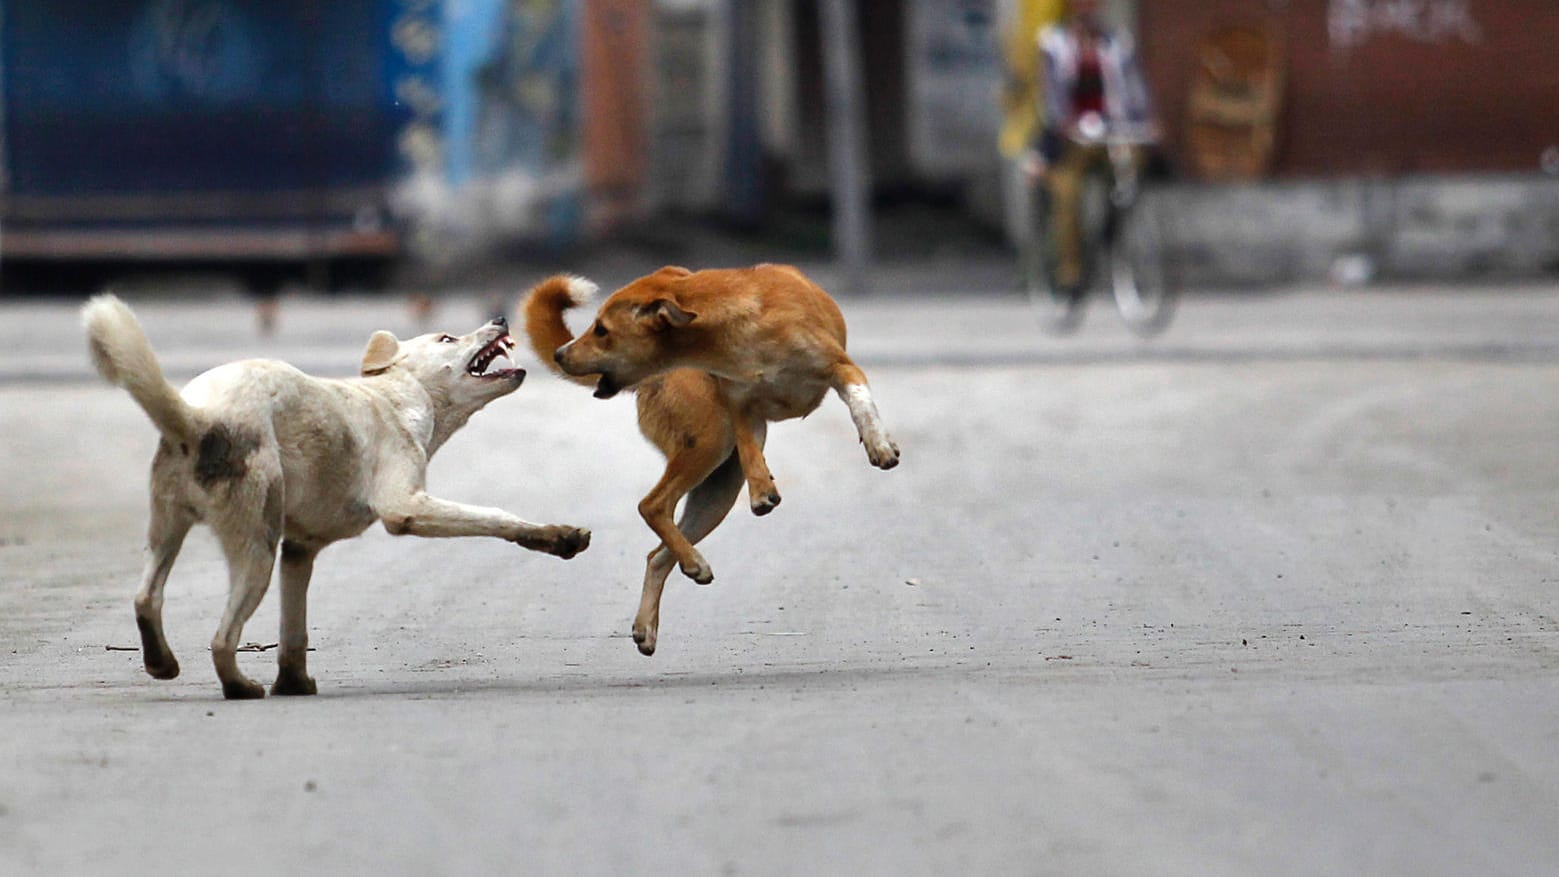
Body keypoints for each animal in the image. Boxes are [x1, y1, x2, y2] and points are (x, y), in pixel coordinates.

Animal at [83, 299, 589, 704]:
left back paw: (161, 663)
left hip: (168, 528)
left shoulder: (299, 550)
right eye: (447, 337)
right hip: (256, 546)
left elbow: (294, 631)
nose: (501, 317)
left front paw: (292, 683)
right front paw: (557, 537)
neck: (398, 397)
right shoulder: (406, 506)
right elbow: (495, 516)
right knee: (222, 640)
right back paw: (240, 688)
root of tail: (200, 418)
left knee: (146, 597)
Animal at [520, 264, 897, 654]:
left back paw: (654, 615)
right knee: (652, 506)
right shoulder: (740, 406)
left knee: (656, 554)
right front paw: (760, 489)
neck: (742, 331)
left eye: (601, 330)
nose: (561, 353)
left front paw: (878, 443)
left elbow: (860, 401)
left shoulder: (841, 367)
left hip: (715, 490)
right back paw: (694, 562)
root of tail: (652, 380)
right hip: (711, 443)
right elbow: (750, 448)